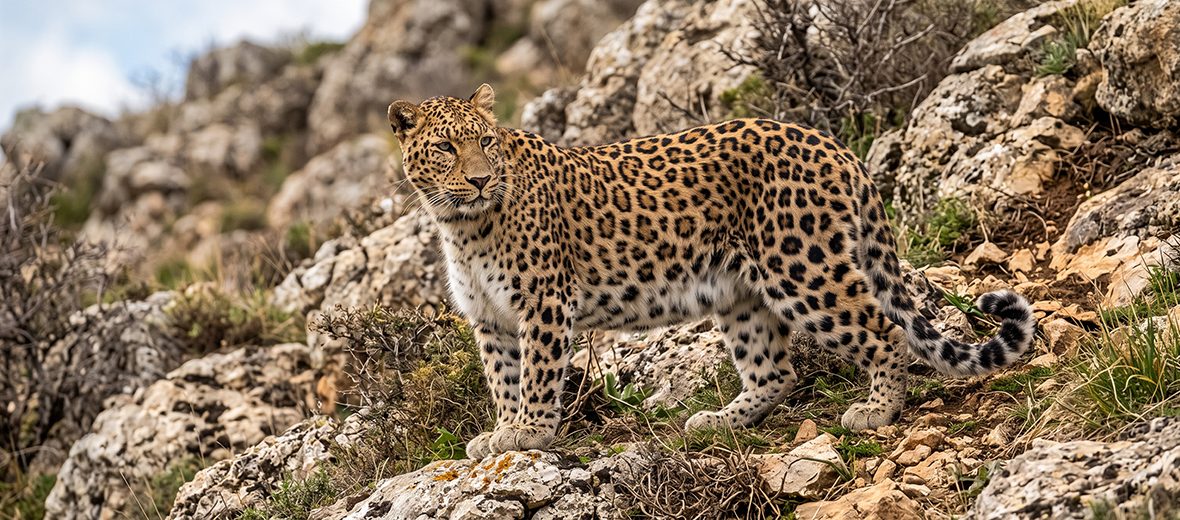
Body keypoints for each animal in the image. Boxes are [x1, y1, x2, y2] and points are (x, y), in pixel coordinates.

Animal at [387, 84, 1036, 459]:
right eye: (445, 148)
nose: (479, 180)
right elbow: (503, 377)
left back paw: (876, 410)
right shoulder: (491, 319)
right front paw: (500, 431)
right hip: (740, 294)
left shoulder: (543, 304)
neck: (462, 224)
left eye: (486, 143)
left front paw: (530, 434)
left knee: (884, 331)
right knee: (777, 371)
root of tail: (831, 142)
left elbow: (539, 375)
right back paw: (718, 423)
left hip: (801, 267)